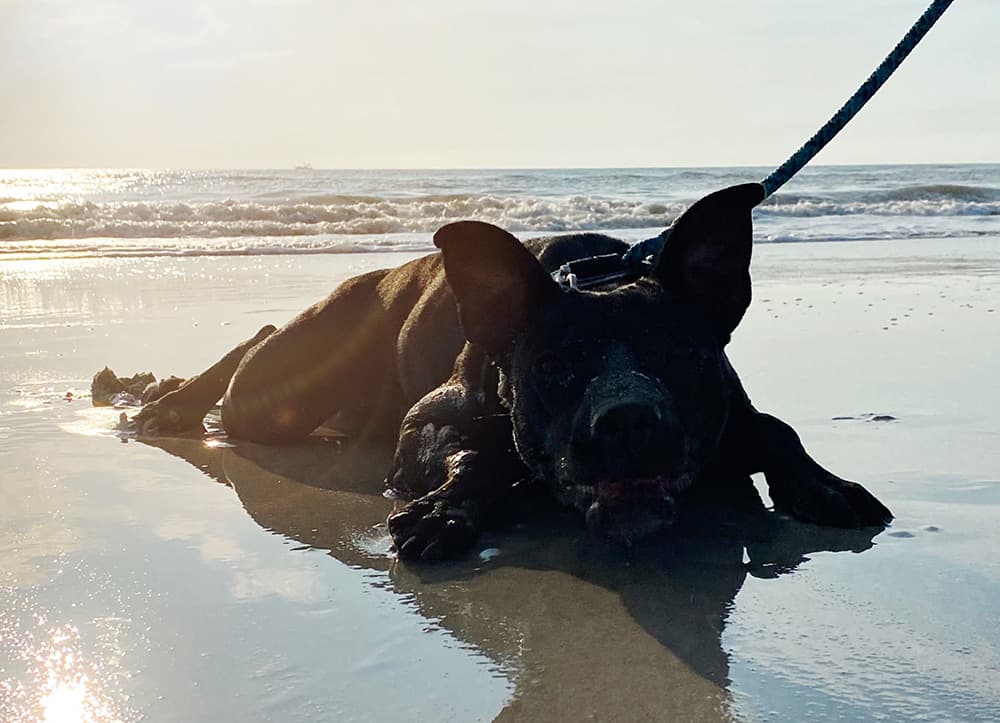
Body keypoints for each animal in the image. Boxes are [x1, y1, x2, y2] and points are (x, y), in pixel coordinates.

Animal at [97, 185, 896, 560]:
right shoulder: (428, 421)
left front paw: (824, 484)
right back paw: (165, 399)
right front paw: (448, 509)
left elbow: (778, 429)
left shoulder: (732, 405)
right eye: (553, 365)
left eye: (686, 356)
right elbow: (483, 456)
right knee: (254, 346)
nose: (630, 419)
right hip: (274, 394)